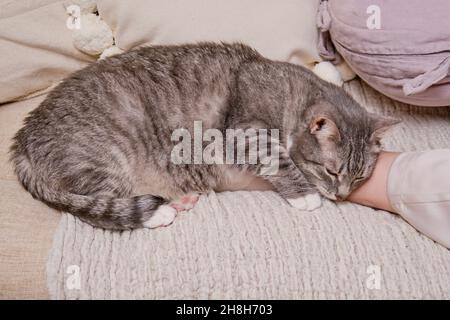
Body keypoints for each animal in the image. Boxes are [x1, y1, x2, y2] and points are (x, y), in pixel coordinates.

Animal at [9, 42, 398, 230]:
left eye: (360, 176)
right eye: (332, 171)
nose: (341, 196)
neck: (291, 96)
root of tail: (22, 141)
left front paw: (331, 70)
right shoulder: (245, 132)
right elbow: (279, 160)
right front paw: (306, 196)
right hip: (101, 158)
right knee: (92, 208)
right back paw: (160, 213)